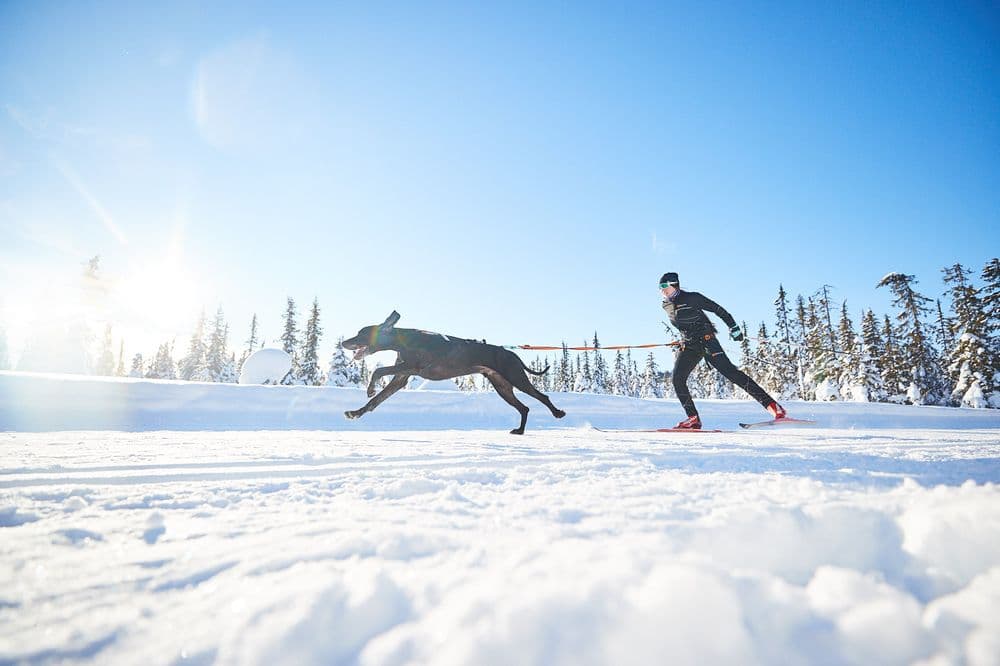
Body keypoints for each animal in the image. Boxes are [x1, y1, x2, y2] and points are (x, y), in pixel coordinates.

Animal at [340, 310, 568, 434]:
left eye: (361, 333)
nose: (343, 342)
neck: (404, 341)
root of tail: (511, 353)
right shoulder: (400, 377)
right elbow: (375, 401)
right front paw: (356, 412)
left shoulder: (411, 367)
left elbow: (377, 371)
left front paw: (369, 389)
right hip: (502, 387)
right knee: (524, 408)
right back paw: (520, 431)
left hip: (516, 377)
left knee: (542, 397)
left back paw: (557, 412)